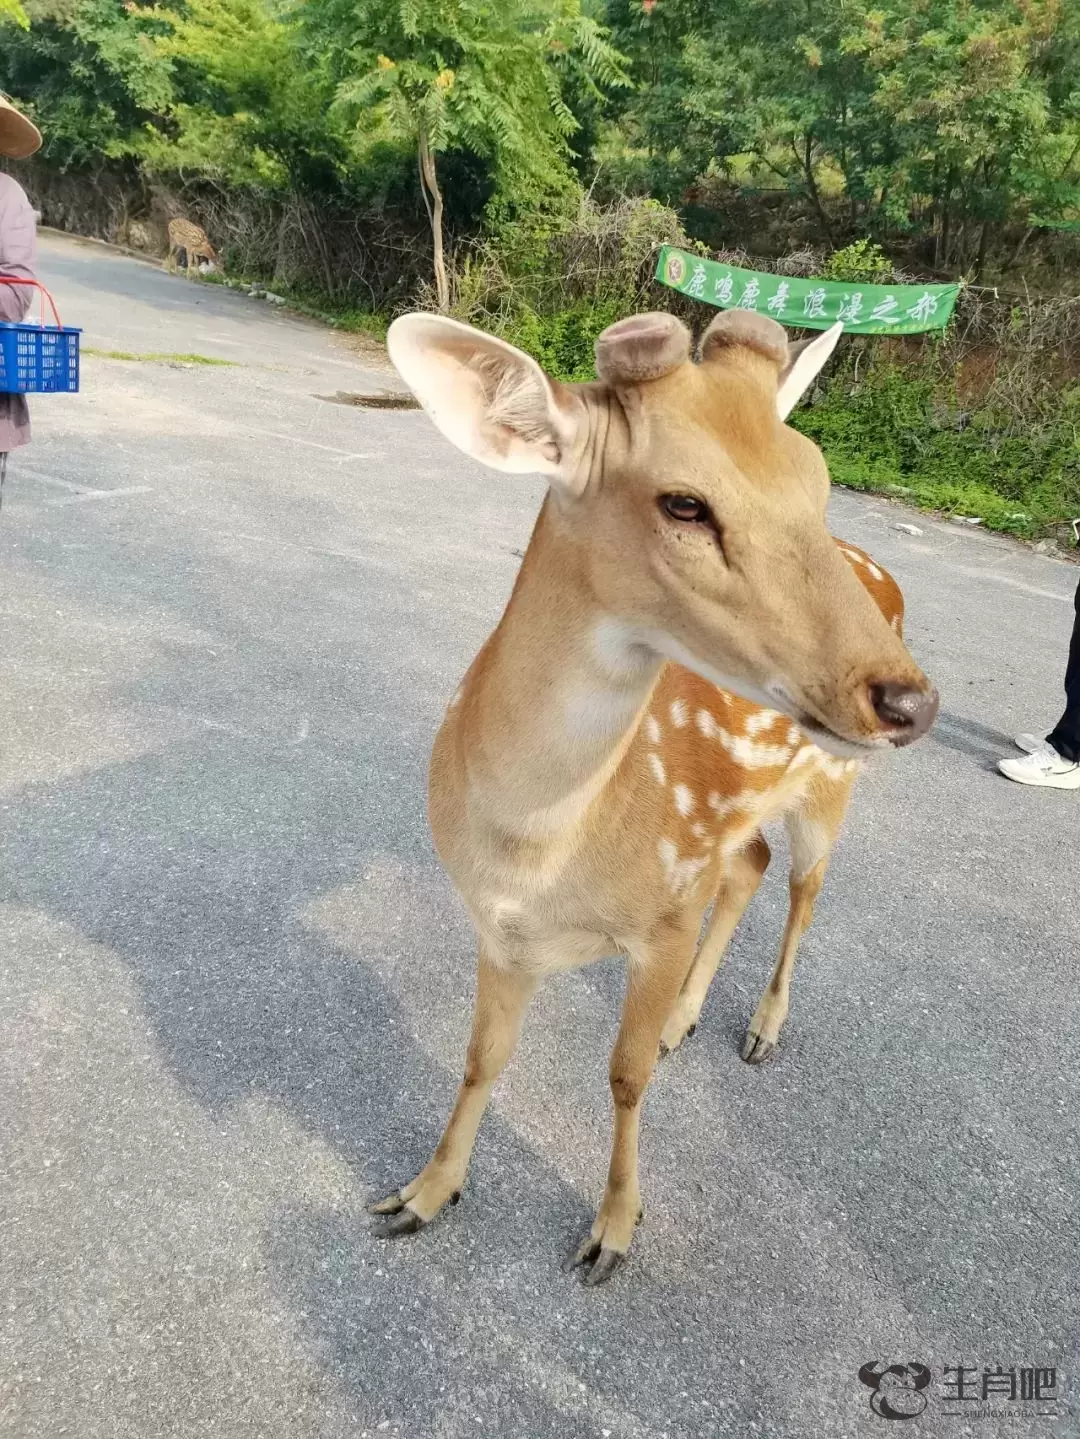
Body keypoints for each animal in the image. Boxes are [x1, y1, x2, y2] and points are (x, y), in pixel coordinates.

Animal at [371, 309, 937, 1289]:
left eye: (820, 484)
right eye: (684, 504)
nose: (908, 700)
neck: (538, 848)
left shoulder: (666, 912)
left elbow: (625, 1076)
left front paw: (614, 1229)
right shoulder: (499, 927)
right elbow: (481, 1057)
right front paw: (423, 1192)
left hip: (831, 784)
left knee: (806, 885)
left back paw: (760, 1028)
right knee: (752, 861)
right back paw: (686, 1017)